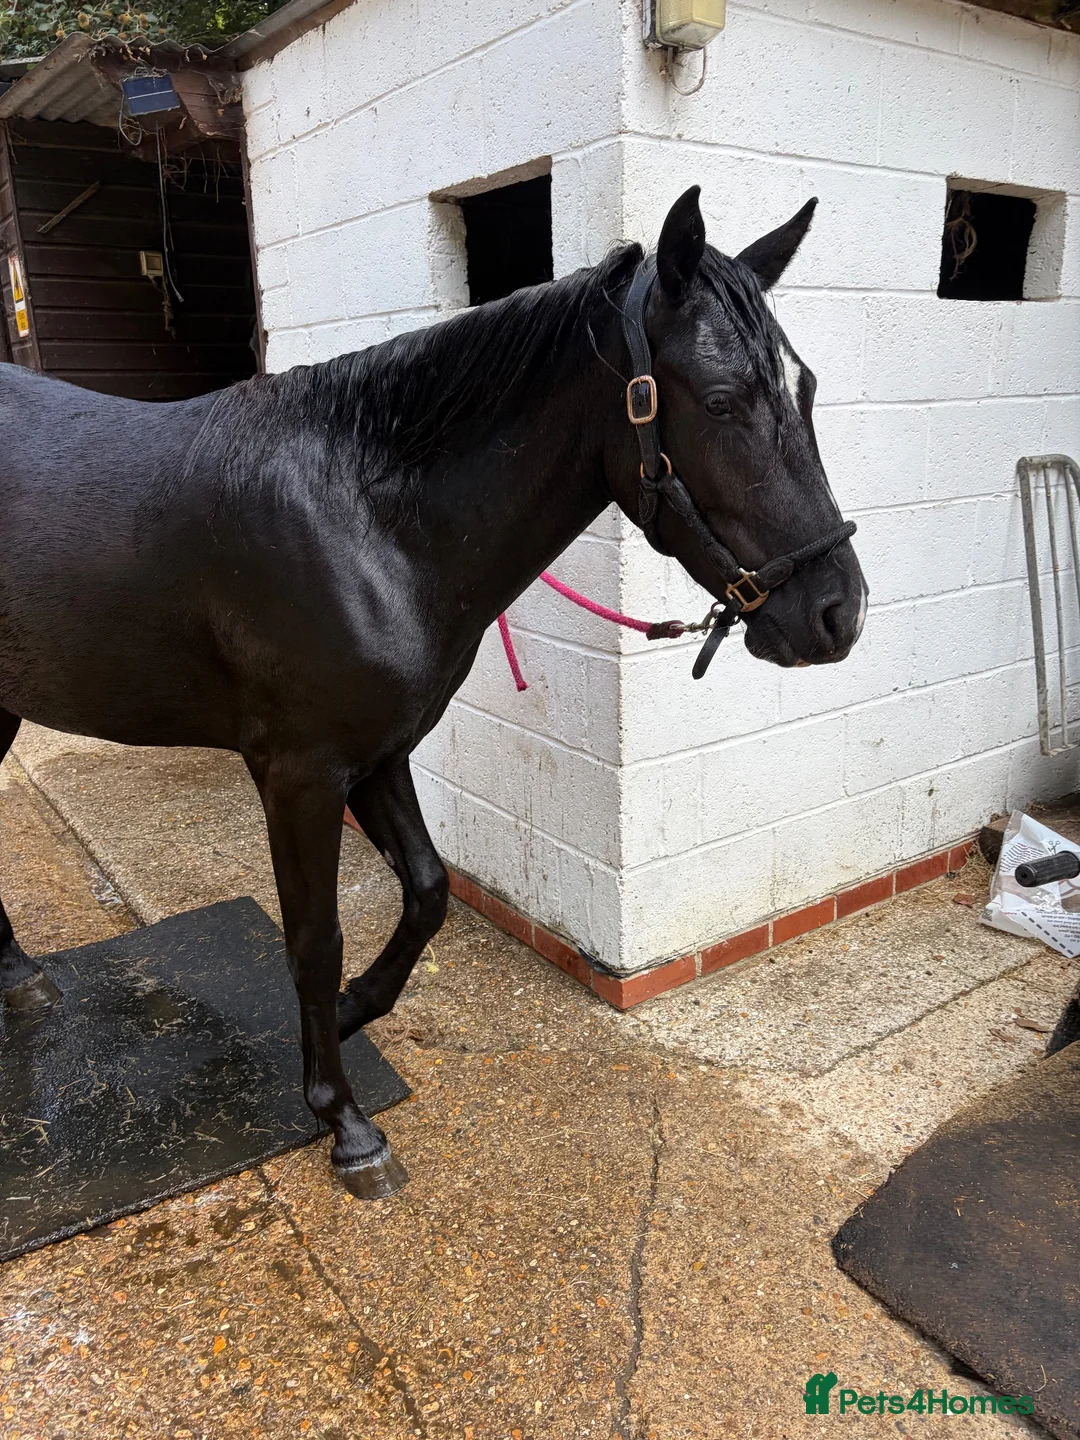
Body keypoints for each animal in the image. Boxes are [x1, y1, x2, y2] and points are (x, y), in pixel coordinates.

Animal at [0, 187, 866, 1199]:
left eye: (806, 389)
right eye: (724, 402)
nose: (838, 613)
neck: (364, 518)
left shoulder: (380, 754)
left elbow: (427, 891)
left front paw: (348, 1015)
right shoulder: (299, 774)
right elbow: (315, 937)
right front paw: (344, 1122)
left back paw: (19, 978)